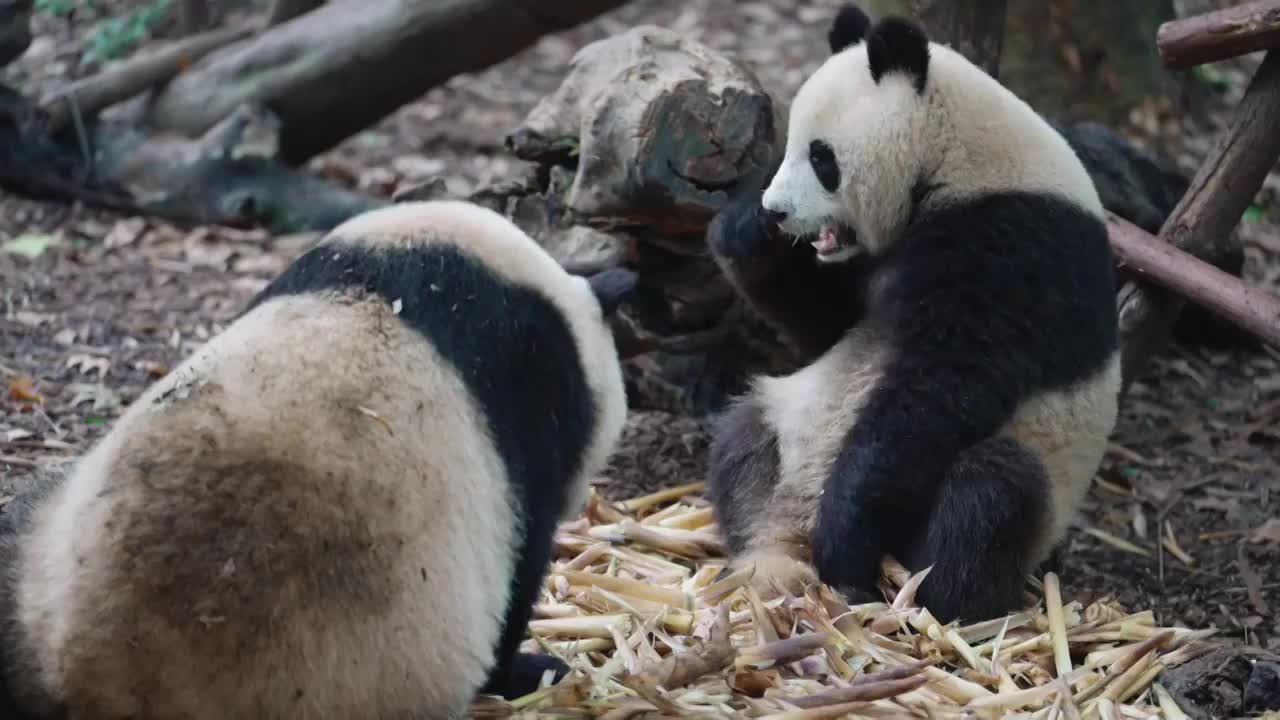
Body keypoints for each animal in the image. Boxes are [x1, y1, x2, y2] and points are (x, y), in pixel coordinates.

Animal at [711, 4, 1121, 622]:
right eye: (787, 147)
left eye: (821, 157)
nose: (777, 210)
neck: (958, 159)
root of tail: (792, 523)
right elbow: (823, 327)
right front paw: (745, 229)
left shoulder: (1016, 247)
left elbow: (934, 391)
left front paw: (844, 535)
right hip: (786, 422)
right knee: (742, 441)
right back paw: (762, 555)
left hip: (1038, 472)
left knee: (987, 496)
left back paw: (921, 596)